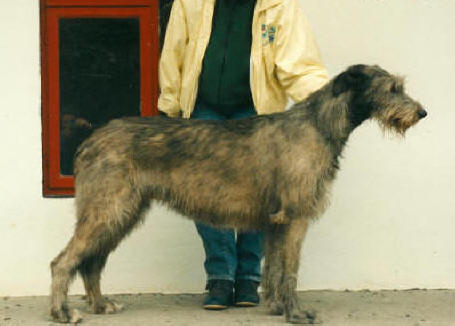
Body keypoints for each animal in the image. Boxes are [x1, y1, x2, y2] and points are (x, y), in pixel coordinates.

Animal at [50, 64, 428, 324]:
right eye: (392, 88)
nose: (422, 113)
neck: (318, 125)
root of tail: (90, 139)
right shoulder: (295, 217)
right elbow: (290, 270)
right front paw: (296, 313)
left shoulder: (276, 221)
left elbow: (273, 268)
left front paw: (275, 306)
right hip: (108, 208)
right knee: (64, 261)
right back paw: (62, 312)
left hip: (122, 212)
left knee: (92, 262)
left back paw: (100, 304)